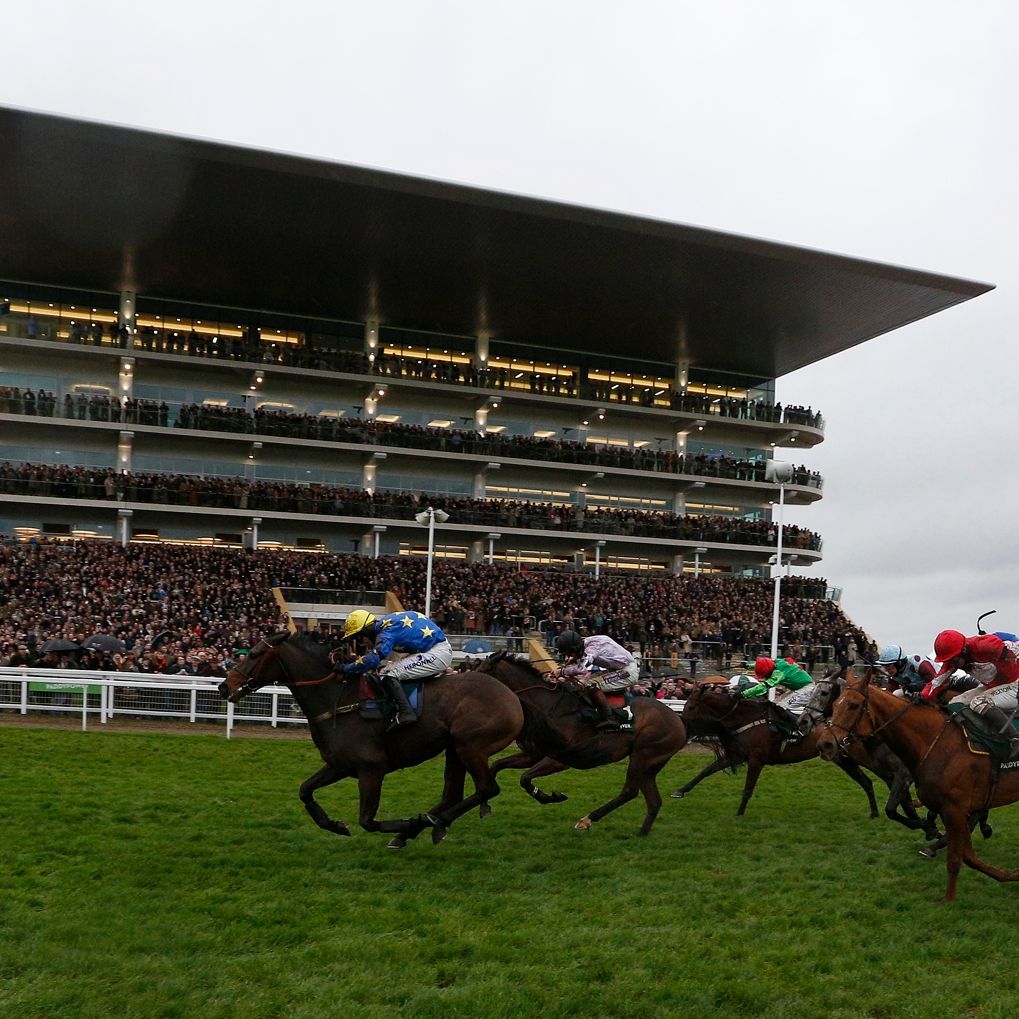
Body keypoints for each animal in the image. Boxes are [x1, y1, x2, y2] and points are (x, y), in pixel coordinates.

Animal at [218, 631, 524, 849]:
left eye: (254, 654)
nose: (224, 686)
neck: (339, 700)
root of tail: (512, 697)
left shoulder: (371, 770)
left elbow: (367, 820)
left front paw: (407, 823)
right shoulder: (339, 765)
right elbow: (305, 790)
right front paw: (335, 825)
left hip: (470, 746)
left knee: (487, 788)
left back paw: (428, 824)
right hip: (454, 749)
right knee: (454, 793)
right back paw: (424, 827)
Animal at [473, 652, 700, 835]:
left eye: (482, 672)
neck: (547, 706)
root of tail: (678, 720)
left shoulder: (559, 759)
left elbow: (525, 779)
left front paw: (552, 797)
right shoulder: (532, 754)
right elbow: (496, 766)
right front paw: (484, 807)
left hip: (642, 755)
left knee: (629, 791)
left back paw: (587, 820)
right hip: (650, 765)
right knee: (653, 801)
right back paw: (642, 834)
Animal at [818, 669, 1019, 901]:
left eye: (853, 705)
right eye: (835, 704)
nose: (824, 744)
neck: (935, 741)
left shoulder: (953, 808)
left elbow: (955, 858)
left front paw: (947, 901)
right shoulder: (950, 808)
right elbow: (968, 855)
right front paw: (1010, 874)